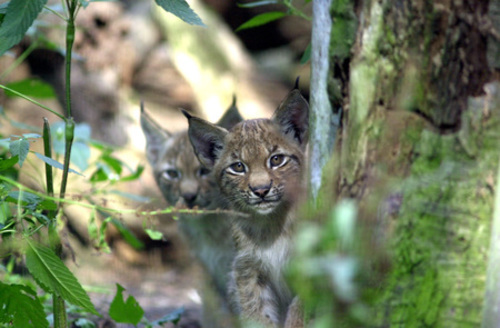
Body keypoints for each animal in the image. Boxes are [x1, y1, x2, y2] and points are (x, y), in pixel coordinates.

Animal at [185, 86, 308, 326]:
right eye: (238, 167)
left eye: (276, 159)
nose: (261, 190)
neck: (271, 223)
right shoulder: (247, 270)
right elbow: (255, 315)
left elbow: (302, 309)